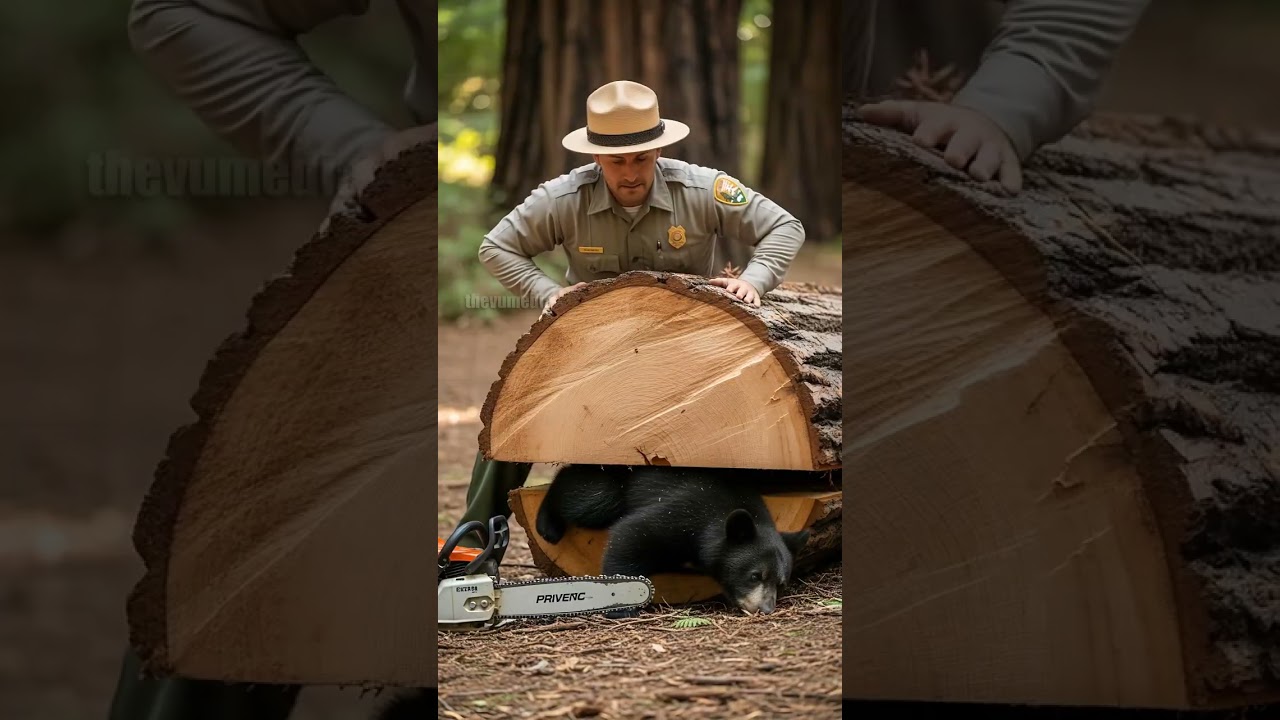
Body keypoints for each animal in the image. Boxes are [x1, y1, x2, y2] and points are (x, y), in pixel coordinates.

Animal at [534, 463, 810, 616]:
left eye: (782, 583)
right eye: (755, 576)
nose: (766, 608)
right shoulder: (685, 514)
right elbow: (632, 534)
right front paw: (621, 605)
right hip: (612, 485)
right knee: (587, 496)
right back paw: (547, 525)